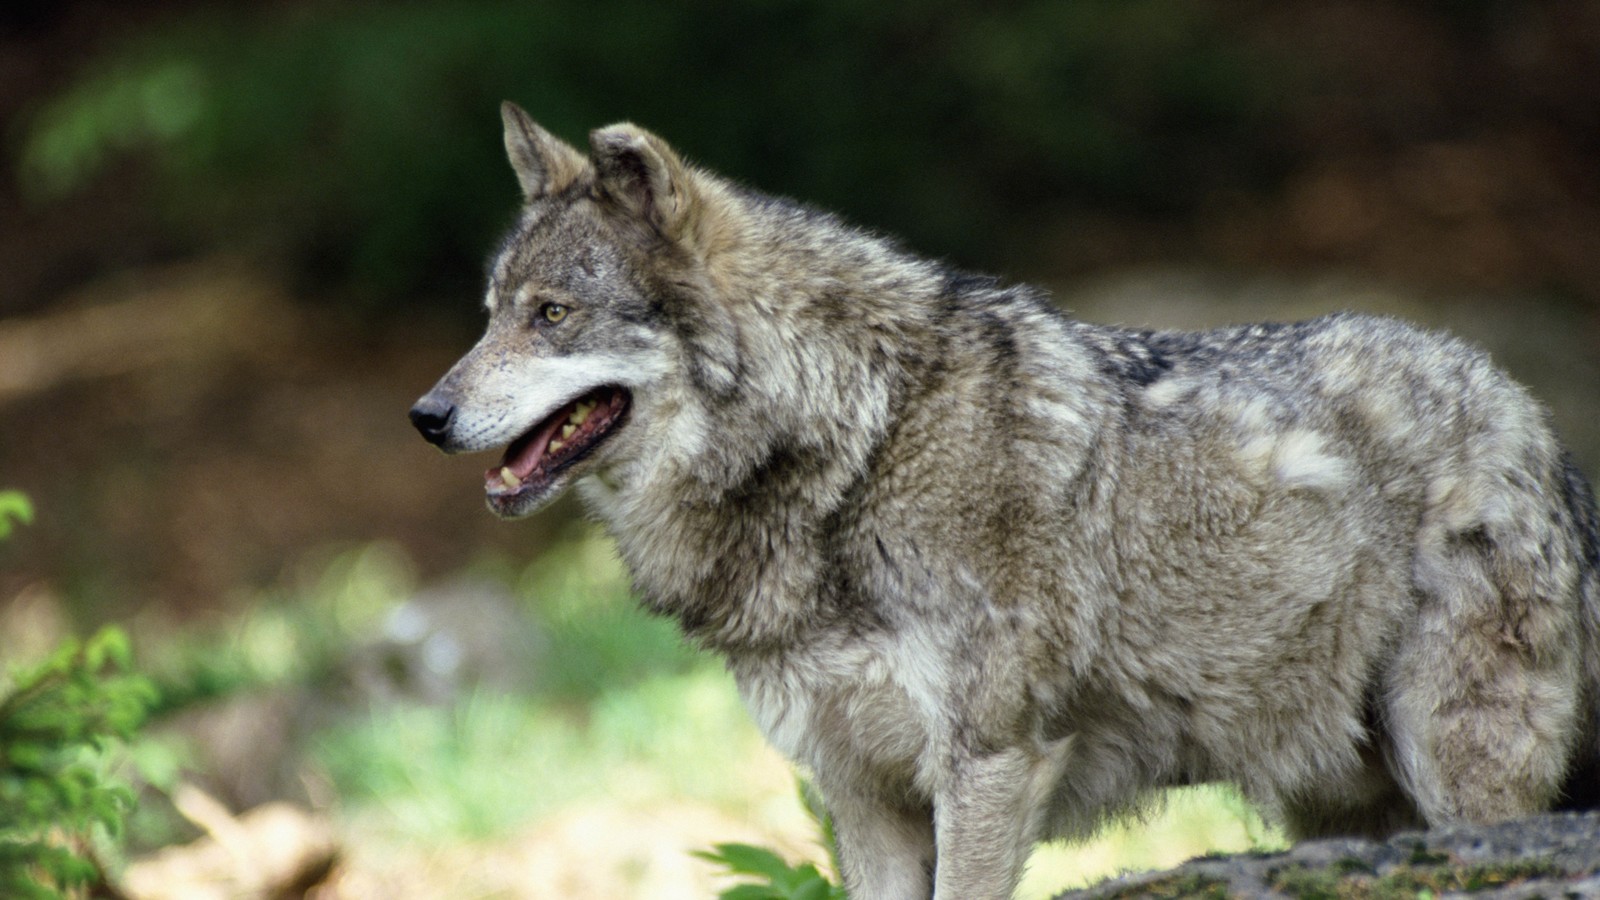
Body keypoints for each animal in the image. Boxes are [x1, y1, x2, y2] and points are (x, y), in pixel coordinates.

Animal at [412, 103, 1600, 896]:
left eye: (551, 314)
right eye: (490, 313)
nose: (426, 414)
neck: (859, 444)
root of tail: (1530, 416)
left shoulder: (988, 766)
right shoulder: (862, 795)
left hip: (1455, 776)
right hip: (1337, 805)